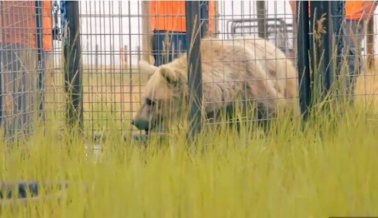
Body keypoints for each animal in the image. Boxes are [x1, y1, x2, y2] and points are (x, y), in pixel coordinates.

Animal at [131, 36, 300, 134]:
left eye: (151, 101)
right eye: (144, 98)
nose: (135, 121)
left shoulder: (252, 83)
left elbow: (273, 111)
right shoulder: (215, 111)